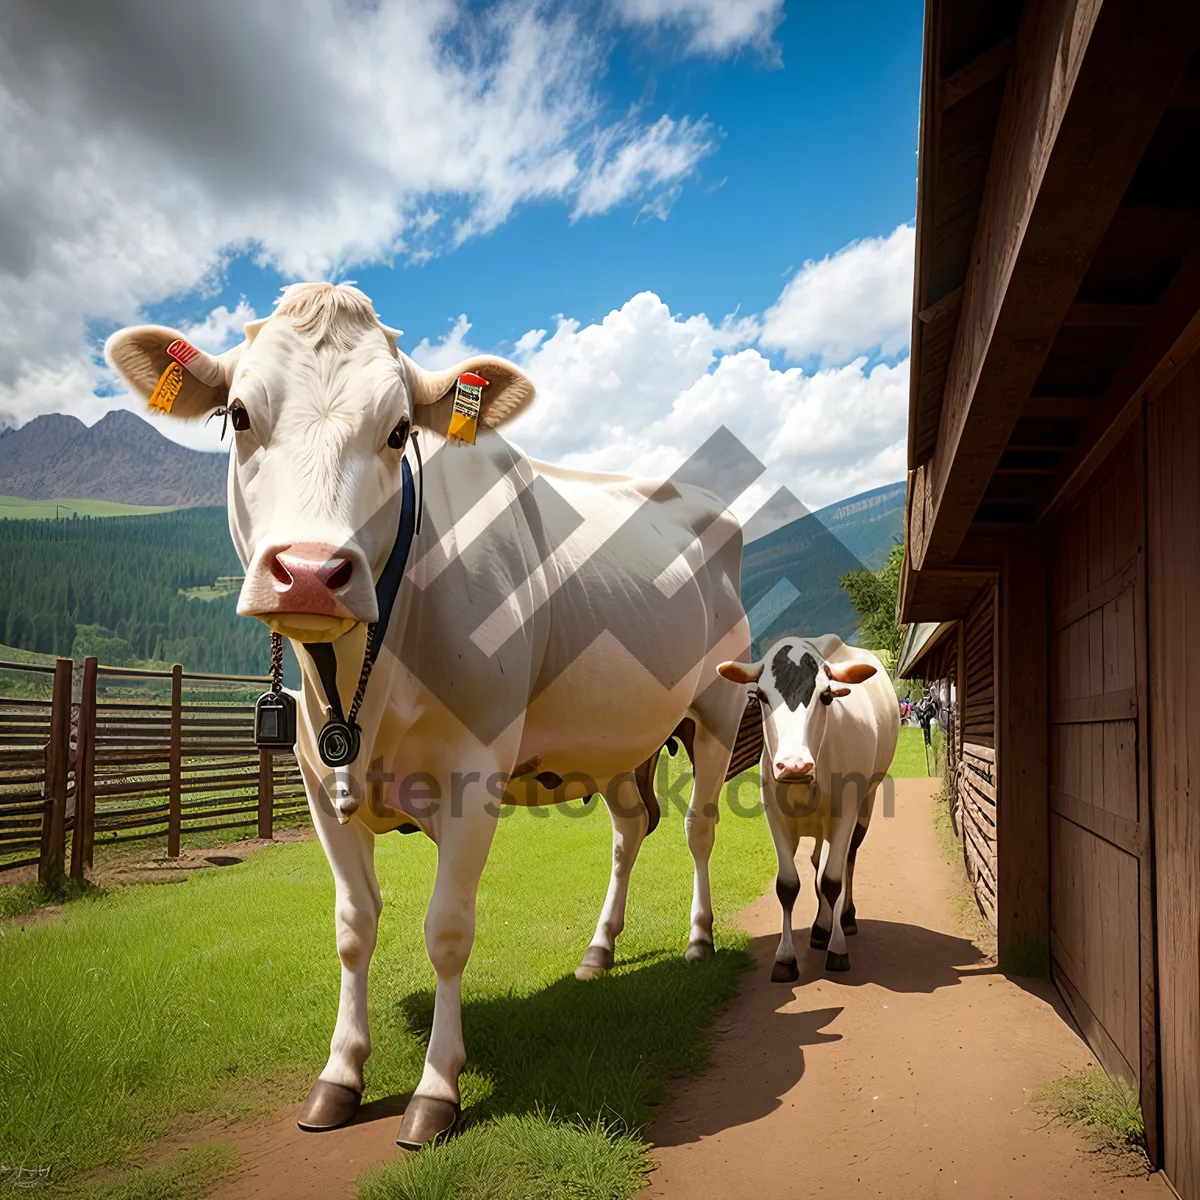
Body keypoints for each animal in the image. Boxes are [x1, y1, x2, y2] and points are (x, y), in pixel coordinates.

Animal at [105, 283, 748, 1152]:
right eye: (238, 414)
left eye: (399, 429)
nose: (310, 572)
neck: (367, 674)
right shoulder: (318, 781)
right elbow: (353, 925)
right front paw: (340, 1075)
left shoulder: (476, 773)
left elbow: (446, 929)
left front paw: (437, 1089)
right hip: (616, 741)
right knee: (628, 827)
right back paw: (598, 951)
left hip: (718, 707)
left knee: (697, 825)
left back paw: (698, 937)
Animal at [715, 633, 897, 979]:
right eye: (761, 695)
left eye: (826, 696)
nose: (794, 764)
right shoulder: (776, 818)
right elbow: (788, 885)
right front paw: (785, 958)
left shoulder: (846, 814)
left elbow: (832, 880)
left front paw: (837, 949)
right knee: (817, 861)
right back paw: (821, 926)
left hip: (866, 802)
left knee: (847, 859)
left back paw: (843, 919)